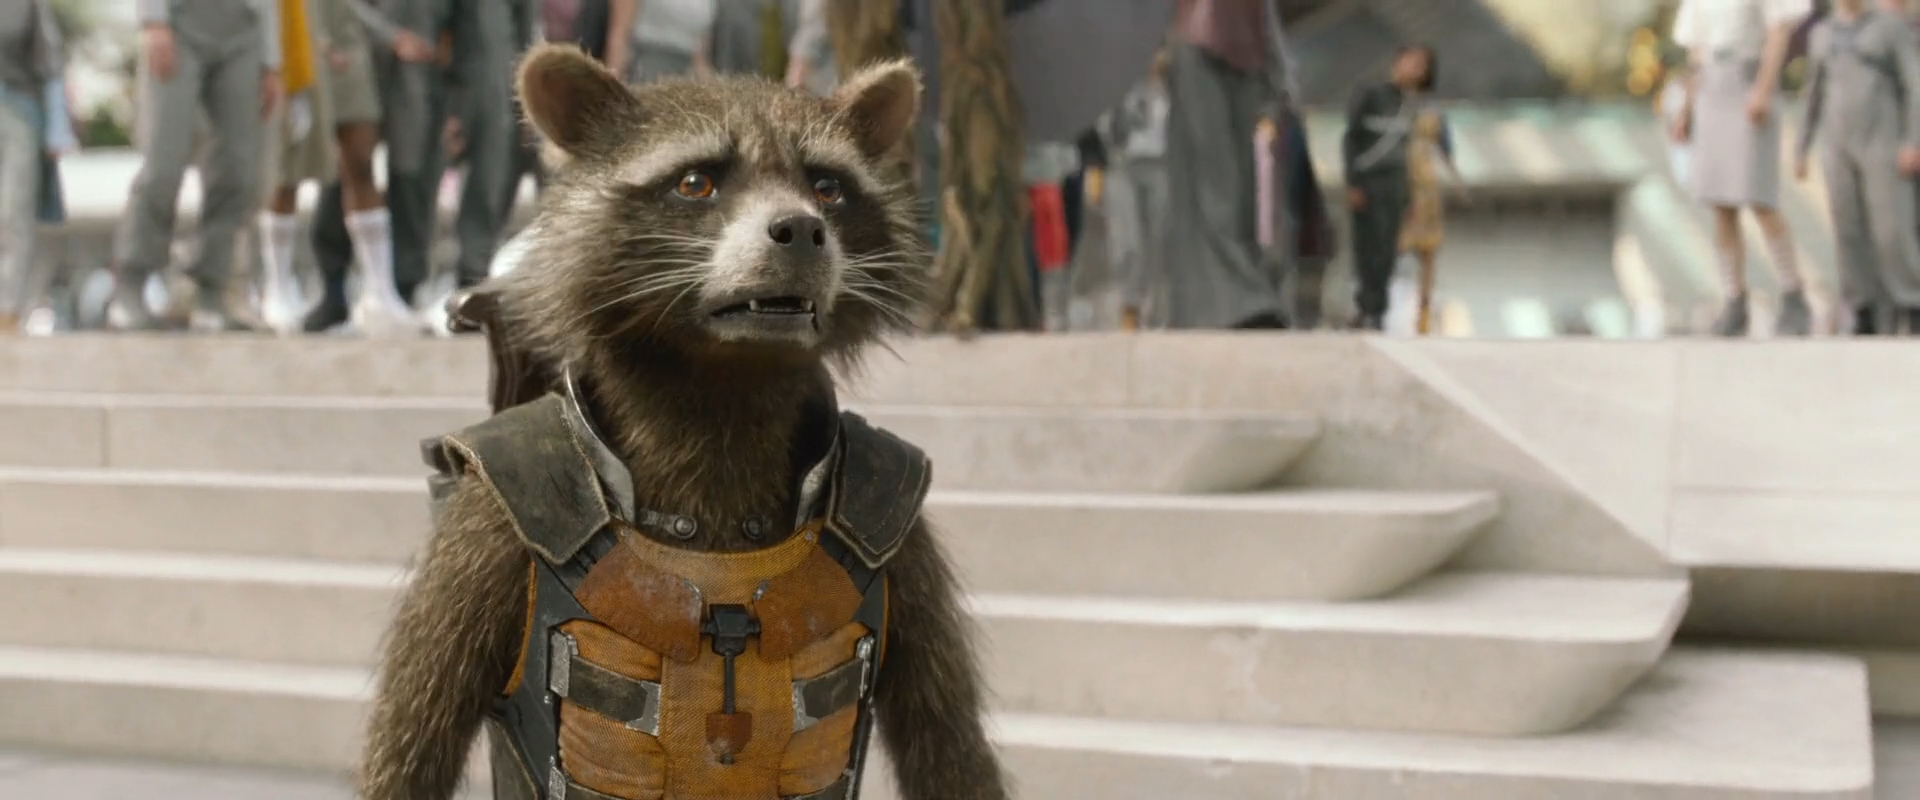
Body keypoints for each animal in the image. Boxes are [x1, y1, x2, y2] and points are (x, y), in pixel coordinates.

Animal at [356, 45, 1008, 800]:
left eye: (827, 188)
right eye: (697, 182)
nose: (802, 230)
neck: (723, 382)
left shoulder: (896, 516)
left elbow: (948, 740)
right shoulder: (488, 524)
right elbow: (412, 739)